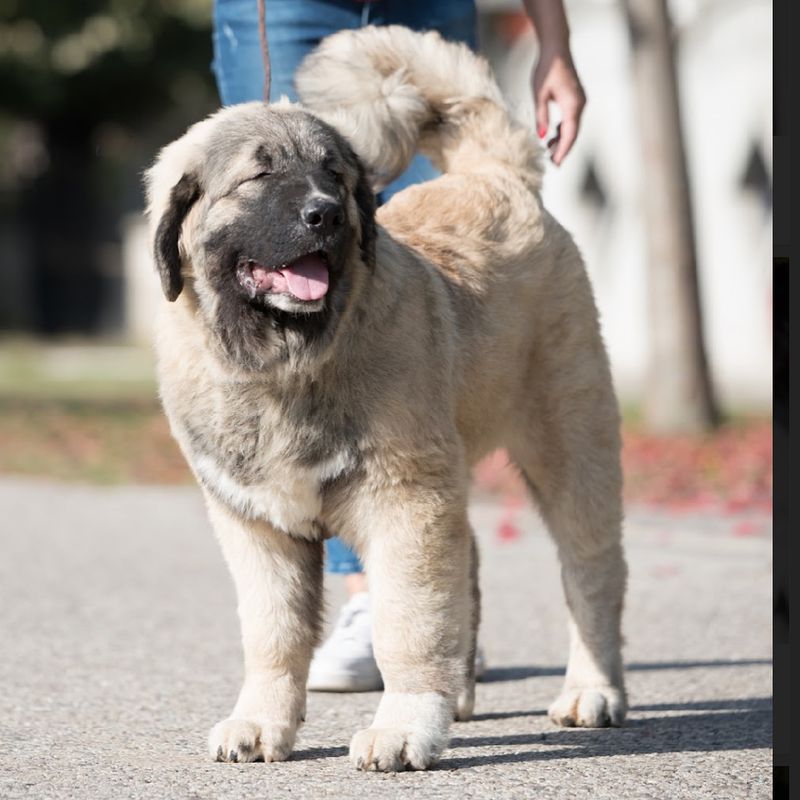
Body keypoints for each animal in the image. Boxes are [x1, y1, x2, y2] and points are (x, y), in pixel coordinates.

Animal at [147, 26, 628, 776]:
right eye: (260, 176)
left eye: (335, 177)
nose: (325, 214)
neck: (286, 367)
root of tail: (496, 176)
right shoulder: (254, 523)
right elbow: (272, 633)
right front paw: (261, 721)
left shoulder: (405, 502)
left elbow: (408, 620)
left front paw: (404, 728)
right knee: (475, 564)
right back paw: (463, 697)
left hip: (571, 450)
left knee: (592, 572)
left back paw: (592, 691)